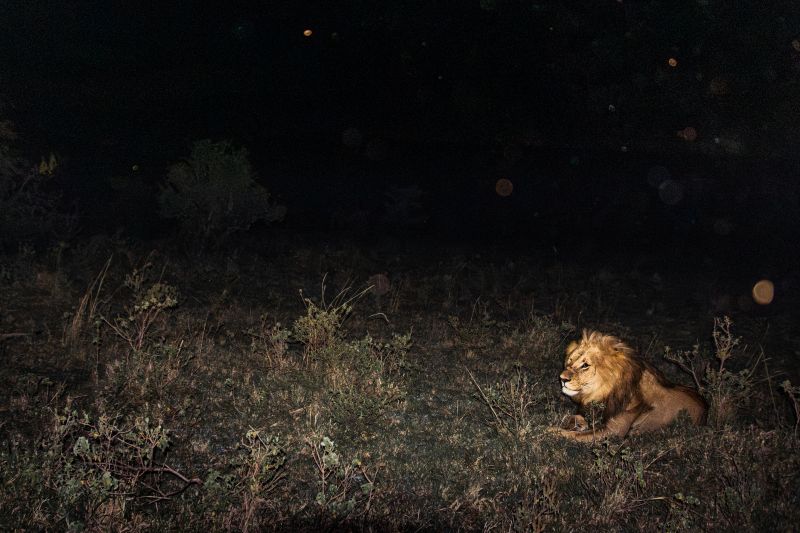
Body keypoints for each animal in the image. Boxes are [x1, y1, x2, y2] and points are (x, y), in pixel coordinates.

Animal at [552, 330, 706, 441]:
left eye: (585, 365)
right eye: (570, 361)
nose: (562, 379)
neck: (604, 393)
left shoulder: (613, 431)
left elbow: (573, 435)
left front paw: (550, 431)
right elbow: (574, 417)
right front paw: (575, 423)